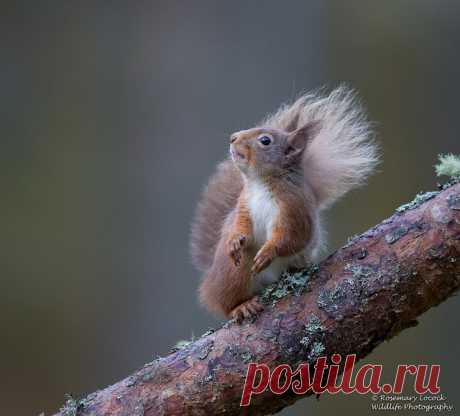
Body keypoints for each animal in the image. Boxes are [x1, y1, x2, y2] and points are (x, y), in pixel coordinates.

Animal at [190, 87, 378, 322]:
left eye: (265, 141)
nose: (233, 137)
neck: (261, 183)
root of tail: (210, 278)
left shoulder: (294, 209)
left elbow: (291, 237)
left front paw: (268, 252)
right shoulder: (244, 204)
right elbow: (240, 225)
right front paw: (234, 240)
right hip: (233, 272)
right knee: (225, 303)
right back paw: (240, 306)